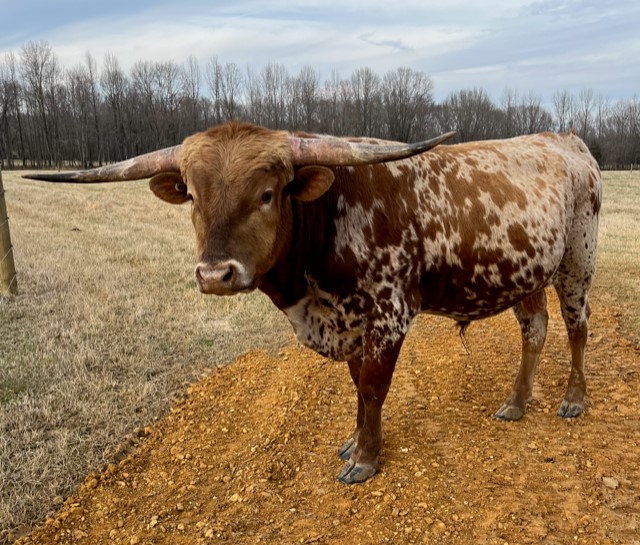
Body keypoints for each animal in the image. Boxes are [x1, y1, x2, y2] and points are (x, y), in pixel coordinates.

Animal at [25, 121, 602, 484]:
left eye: (267, 194)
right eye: (191, 195)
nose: (215, 275)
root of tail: (567, 140)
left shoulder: (389, 312)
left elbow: (372, 387)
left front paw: (365, 459)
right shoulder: (346, 319)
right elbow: (355, 385)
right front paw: (355, 439)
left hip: (577, 260)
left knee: (576, 327)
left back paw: (573, 398)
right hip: (528, 272)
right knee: (535, 330)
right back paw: (516, 402)